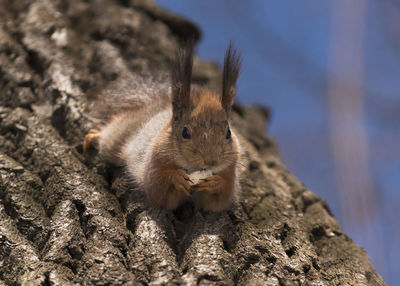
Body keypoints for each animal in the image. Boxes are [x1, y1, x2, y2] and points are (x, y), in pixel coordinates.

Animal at [83, 42, 242, 212]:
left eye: (228, 133)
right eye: (185, 132)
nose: (212, 161)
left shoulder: (230, 170)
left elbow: (218, 201)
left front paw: (216, 183)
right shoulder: (155, 160)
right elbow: (157, 188)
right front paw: (175, 178)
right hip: (119, 136)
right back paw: (94, 135)